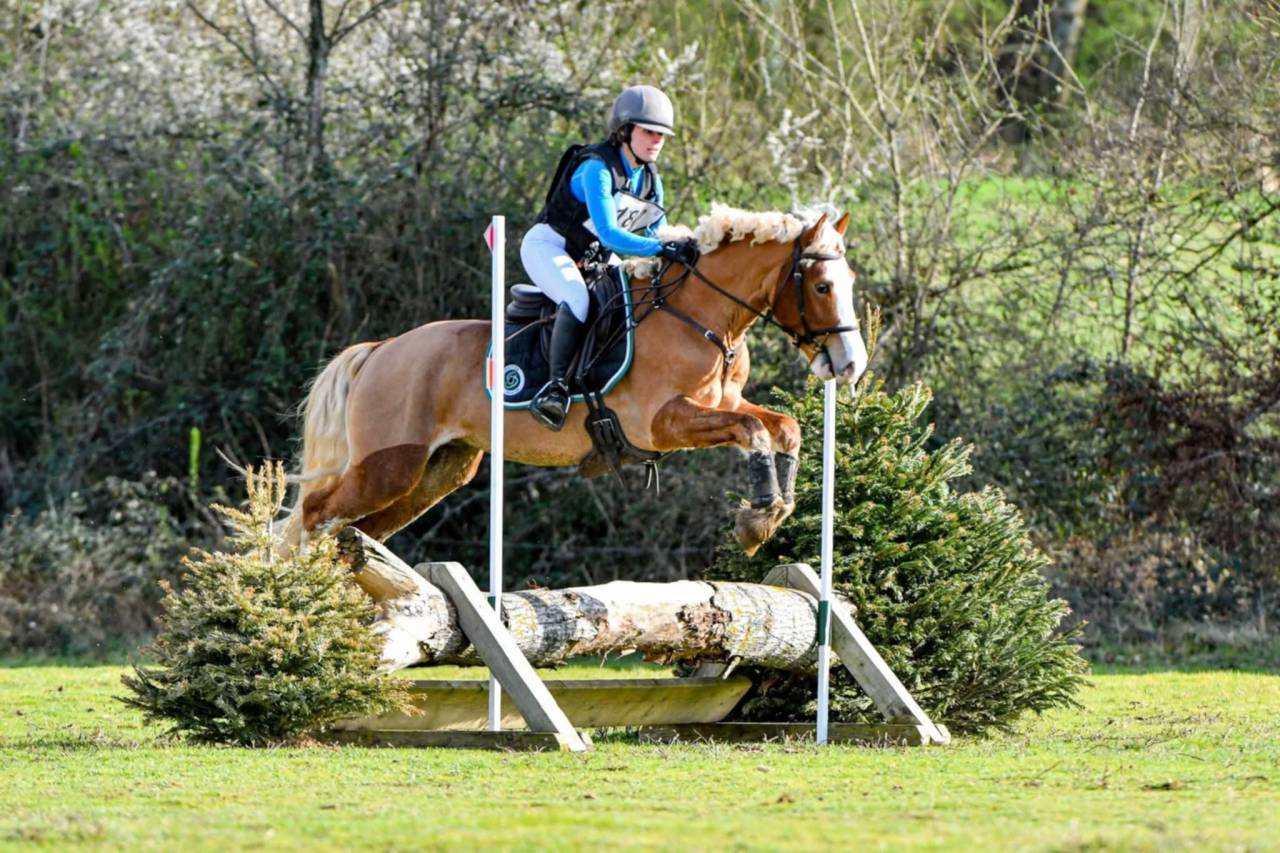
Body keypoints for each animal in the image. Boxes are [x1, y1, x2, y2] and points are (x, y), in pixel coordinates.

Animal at [281, 204, 868, 557]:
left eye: (849, 280)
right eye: (820, 286)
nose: (850, 365)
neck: (702, 316)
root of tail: (380, 351)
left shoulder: (727, 402)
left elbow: (782, 426)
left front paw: (769, 512)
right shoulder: (666, 422)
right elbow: (754, 432)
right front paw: (757, 518)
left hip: (437, 471)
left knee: (356, 530)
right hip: (388, 467)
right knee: (314, 514)